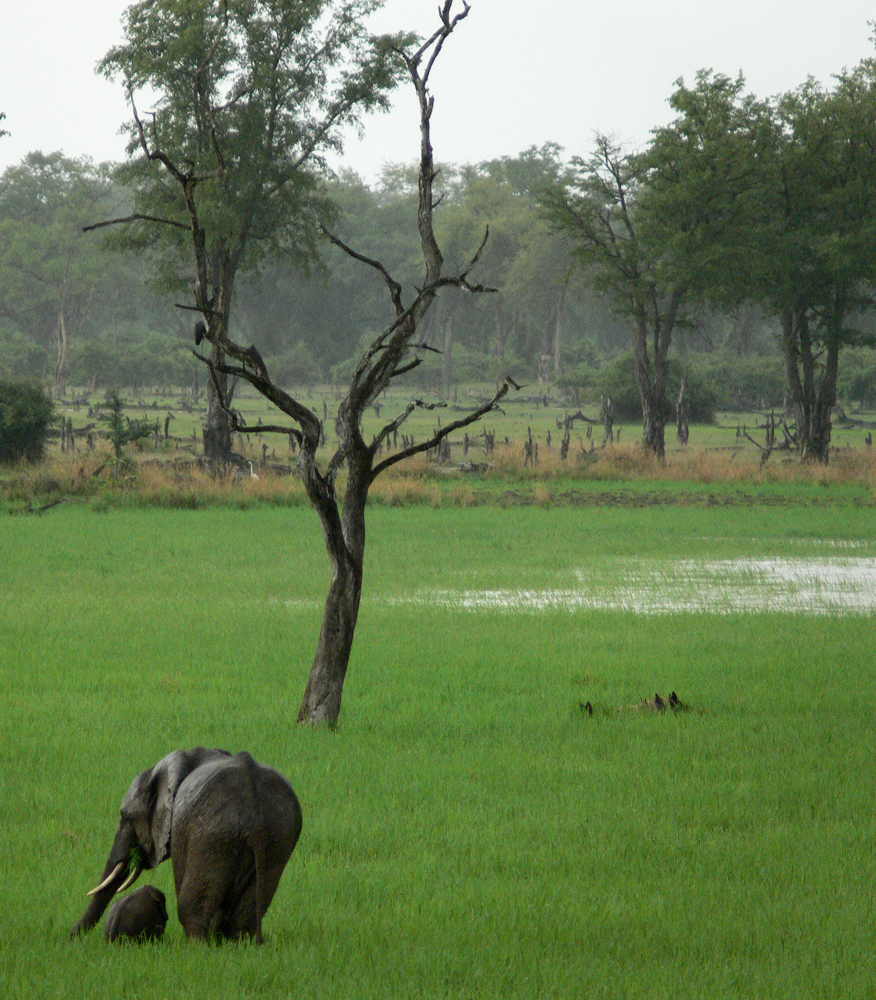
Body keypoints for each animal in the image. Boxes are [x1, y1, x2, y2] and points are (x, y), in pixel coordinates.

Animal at [70, 748, 302, 940]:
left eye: (126, 817)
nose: (70, 938)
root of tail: (255, 809)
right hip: (278, 837)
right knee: (249, 909)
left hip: (211, 834)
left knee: (191, 908)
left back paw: (198, 947)